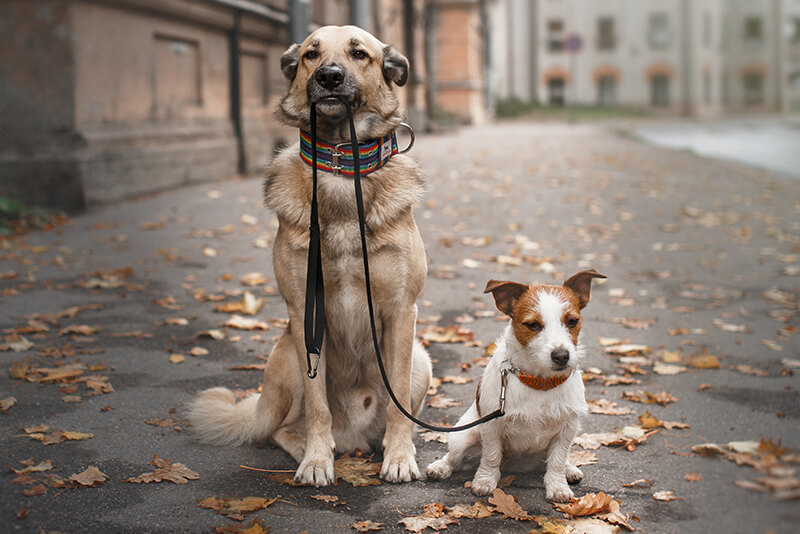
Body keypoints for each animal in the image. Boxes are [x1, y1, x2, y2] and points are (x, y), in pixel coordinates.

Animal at [188, 26, 434, 490]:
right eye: (310, 55)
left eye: (359, 53)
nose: (329, 77)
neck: (340, 165)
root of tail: (355, 436)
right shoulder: (305, 313)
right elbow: (318, 406)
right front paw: (318, 460)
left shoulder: (401, 312)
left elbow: (397, 405)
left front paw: (399, 457)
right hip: (287, 352)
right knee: (282, 427)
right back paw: (309, 446)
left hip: (420, 360)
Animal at [428, 272, 604, 502]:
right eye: (533, 325)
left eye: (572, 321)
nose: (561, 356)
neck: (540, 383)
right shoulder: (492, 427)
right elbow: (491, 456)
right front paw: (485, 481)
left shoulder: (568, 428)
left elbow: (556, 461)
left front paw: (558, 486)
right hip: (462, 437)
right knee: (454, 458)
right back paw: (440, 467)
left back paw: (569, 468)